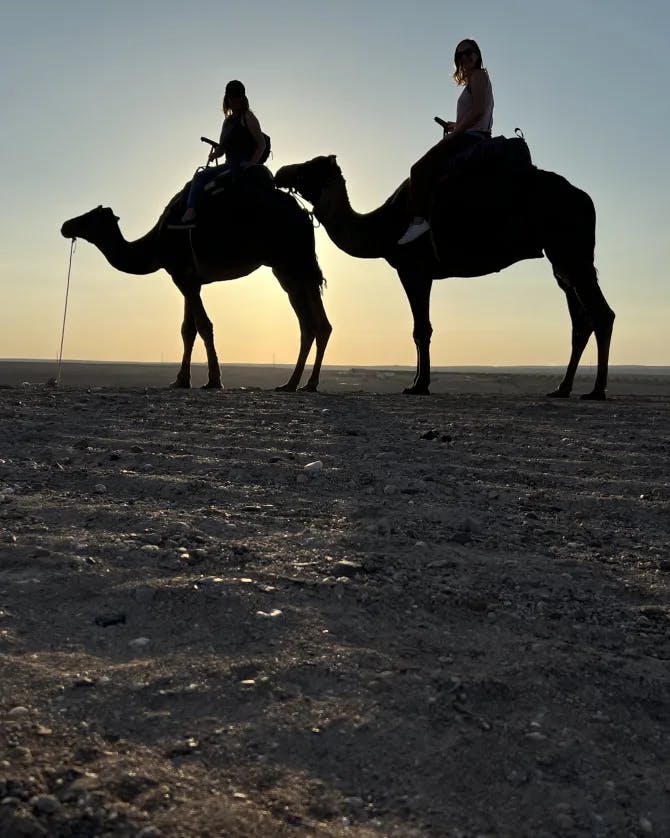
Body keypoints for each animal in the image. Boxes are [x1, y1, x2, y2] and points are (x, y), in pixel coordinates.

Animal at [62, 172, 334, 396]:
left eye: (89, 217)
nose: (66, 226)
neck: (157, 244)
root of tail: (306, 215)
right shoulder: (190, 280)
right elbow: (187, 330)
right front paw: (181, 380)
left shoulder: (182, 277)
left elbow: (203, 325)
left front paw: (214, 380)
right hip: (288, 268)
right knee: (314, 323)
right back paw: (299, 383)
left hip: (292, 260)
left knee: (311, 321)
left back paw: (300, 383)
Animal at [276, 150, 616, 398]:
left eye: (309, 167)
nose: (281, 172)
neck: (385, 227)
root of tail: (586, 199)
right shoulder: (419, 272)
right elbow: (420, 329)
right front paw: (417, 381)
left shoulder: (413, 269)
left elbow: (421, 329)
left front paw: (419, 386)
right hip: (561, 258)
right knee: (580, 320)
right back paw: (562, 388)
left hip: (571, 250)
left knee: (602, 314)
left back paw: (597, 391)